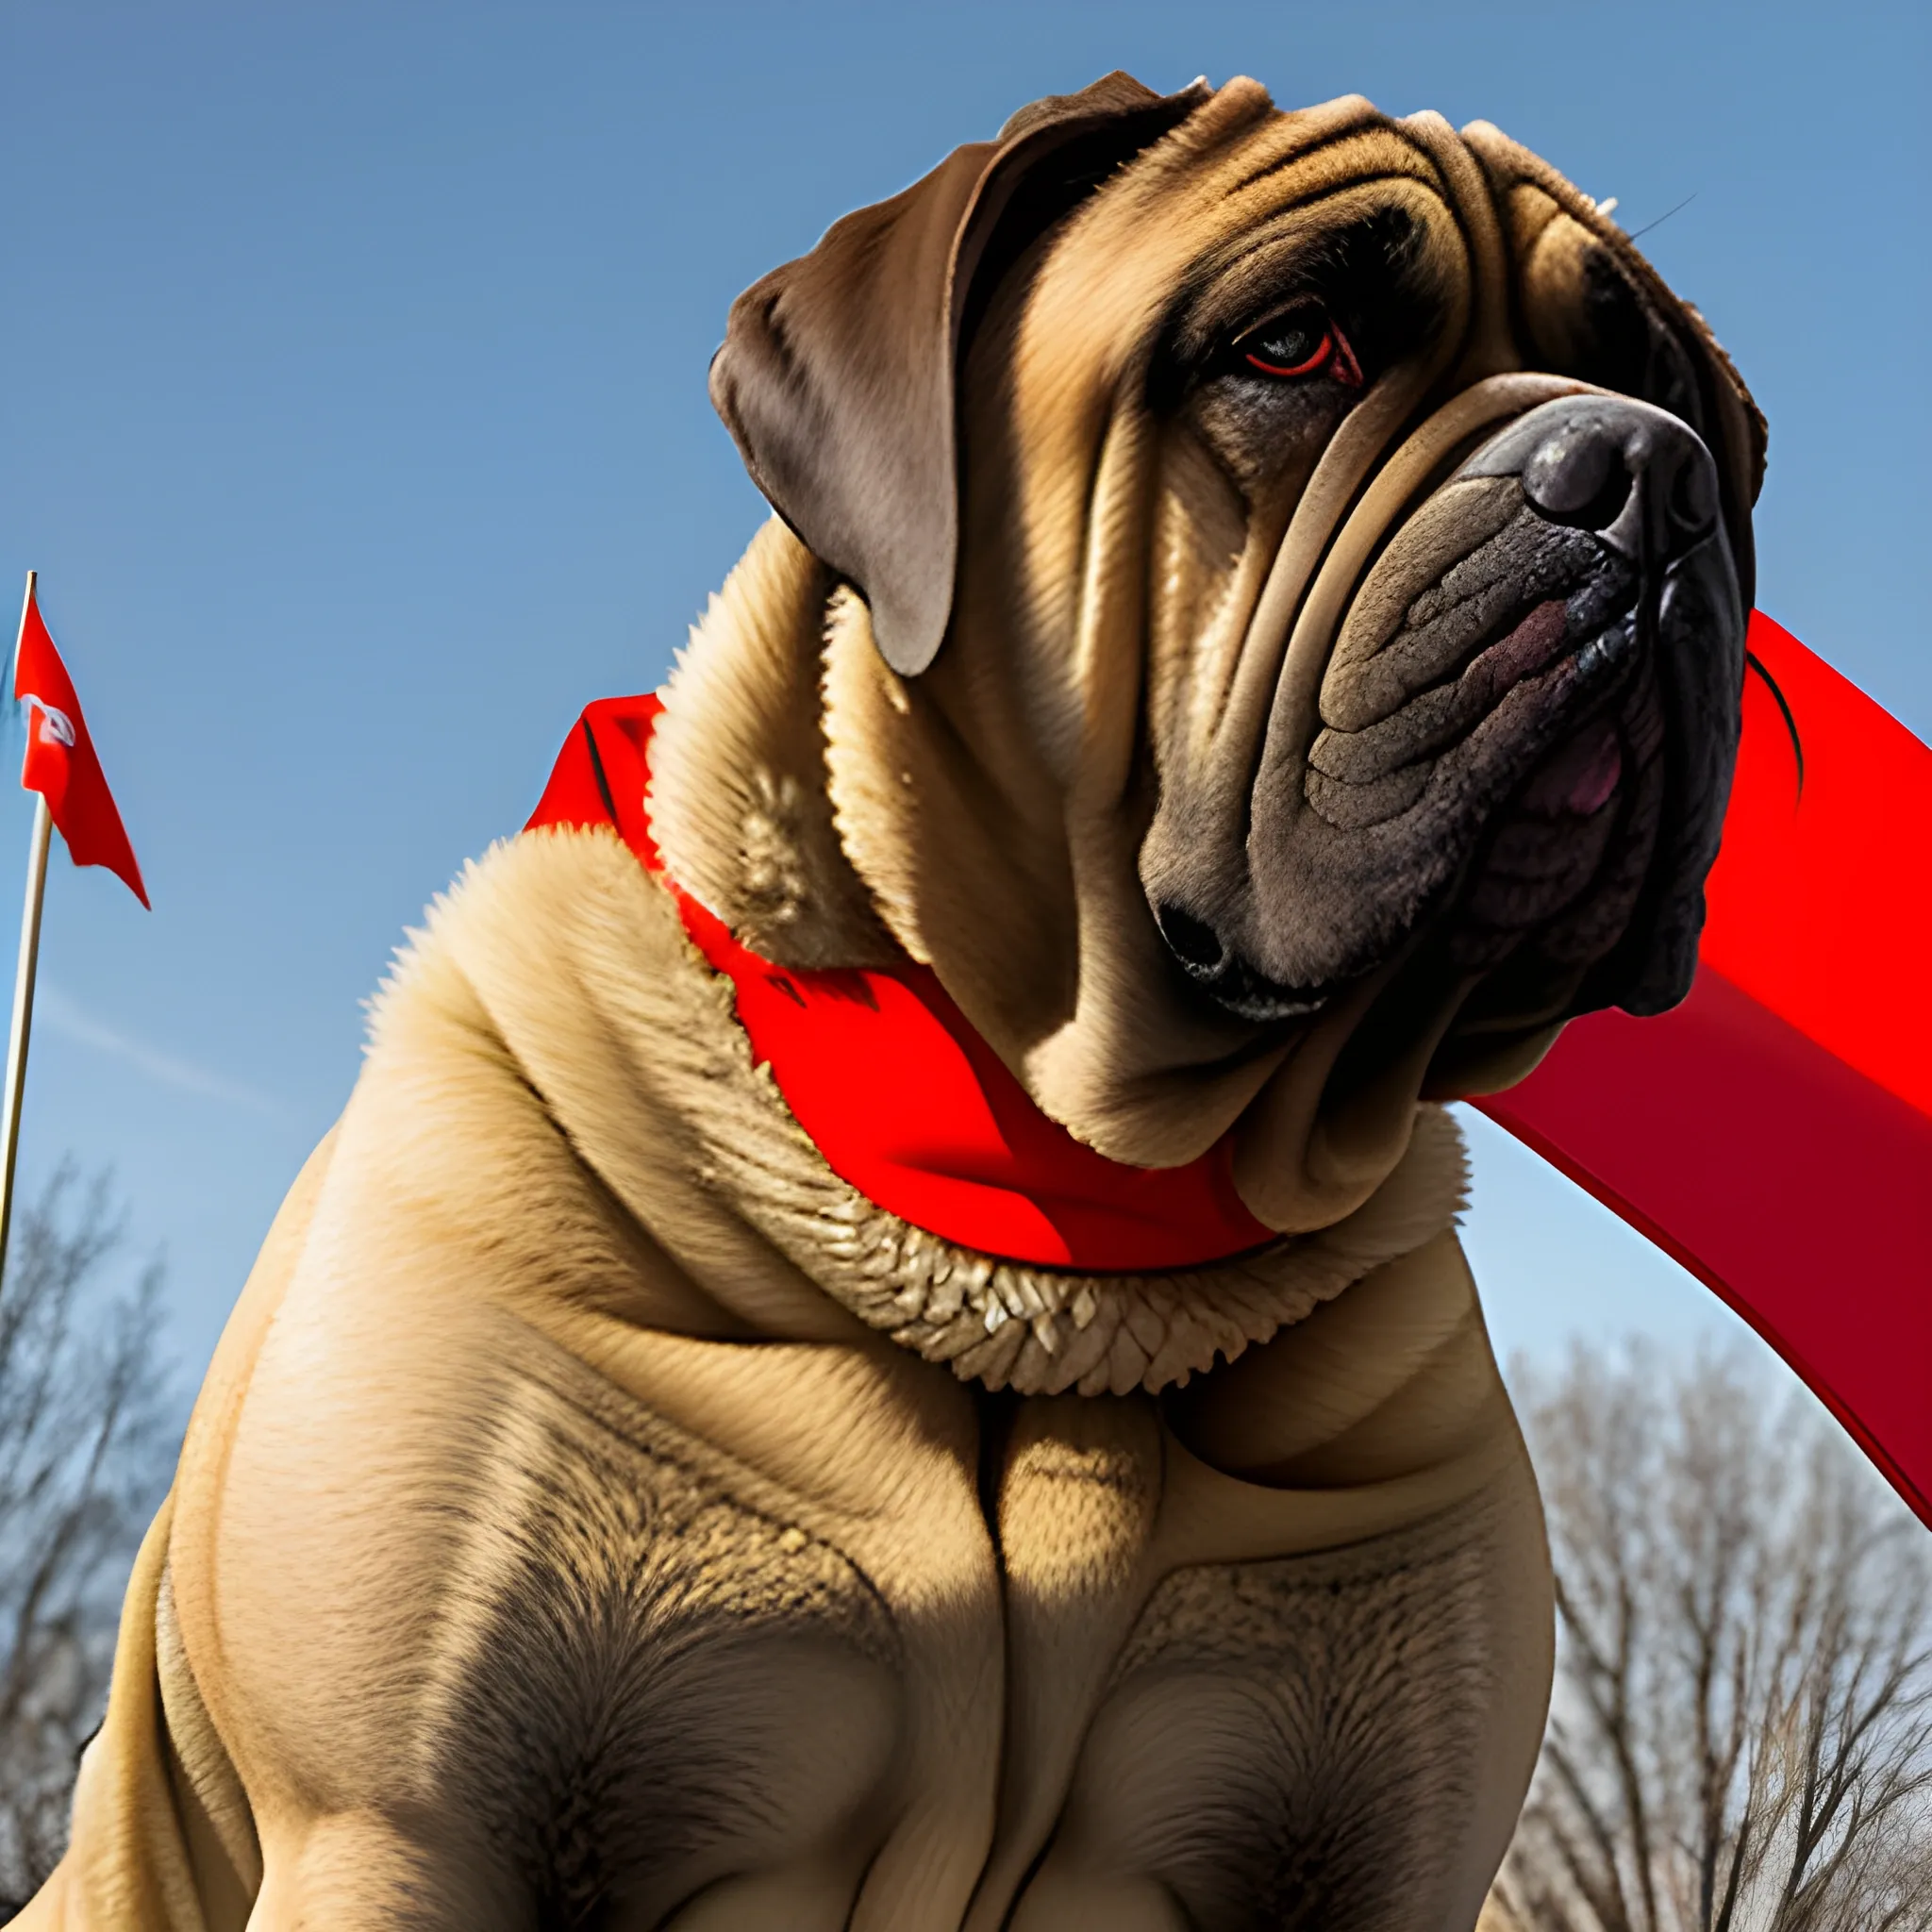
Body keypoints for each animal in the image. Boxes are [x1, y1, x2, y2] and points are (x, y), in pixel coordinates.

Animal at [18, 68, 1769, 1932]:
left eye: (1659, 384)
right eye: (1293, 346)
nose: (1641, 472)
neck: (1063, 1247)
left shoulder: (1365, 1860)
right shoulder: (408, 1827)